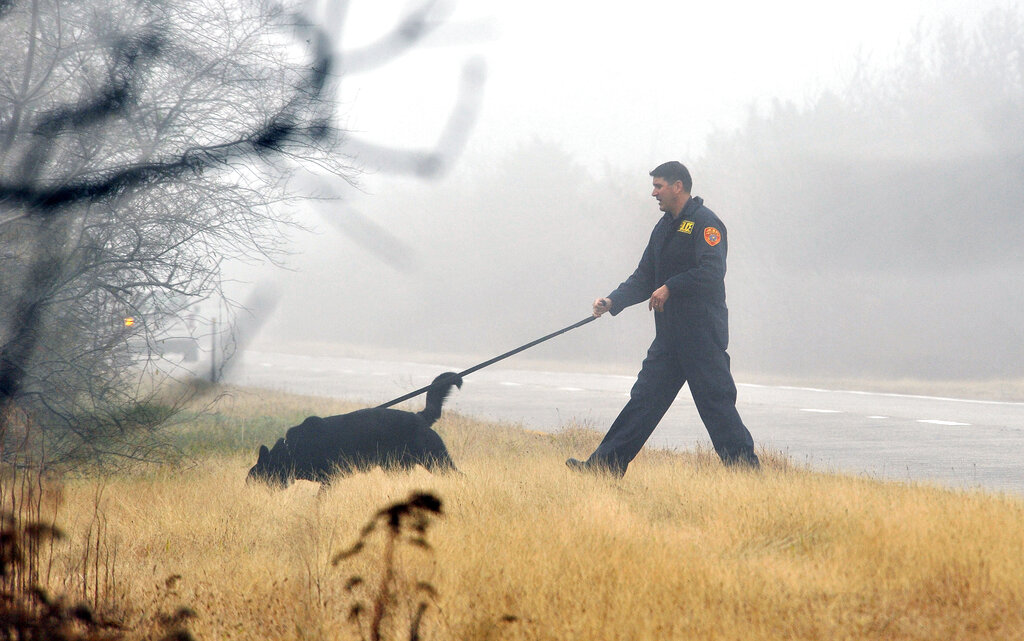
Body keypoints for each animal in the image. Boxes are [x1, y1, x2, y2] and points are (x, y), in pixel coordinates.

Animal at [245, 368, 462, 483]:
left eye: (254, 479)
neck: (292, 449)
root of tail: (420, 417)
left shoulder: (330, 479)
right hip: (396, 468)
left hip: (436, 461)